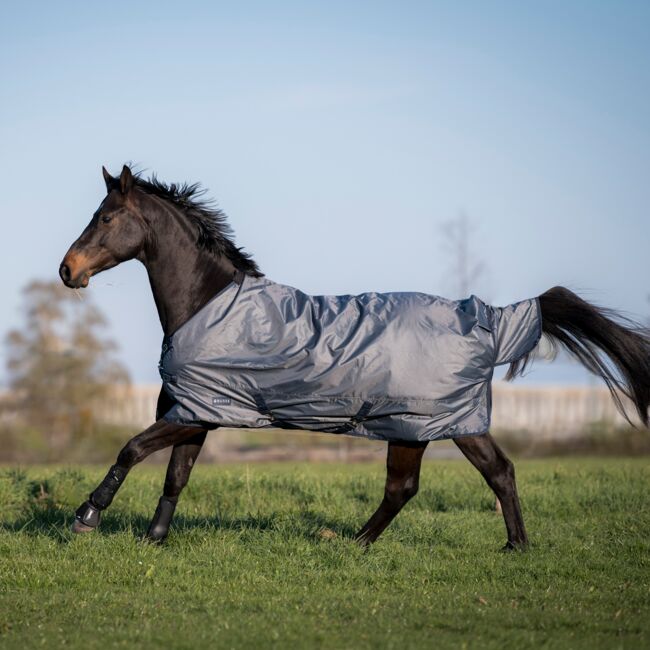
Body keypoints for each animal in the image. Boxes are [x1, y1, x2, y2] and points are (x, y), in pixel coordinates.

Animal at [59, 165, 650, 548]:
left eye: (106, 217)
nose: (68, 270)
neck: (208, 305)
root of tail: (486, 318)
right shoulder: (201, 411)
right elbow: (174, 476)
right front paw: (154, 540)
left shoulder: (193, 412)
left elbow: (132, 449)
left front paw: (87, 516)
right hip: (426, 427)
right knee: (450, 480)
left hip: (434, 423)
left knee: (453, 479)